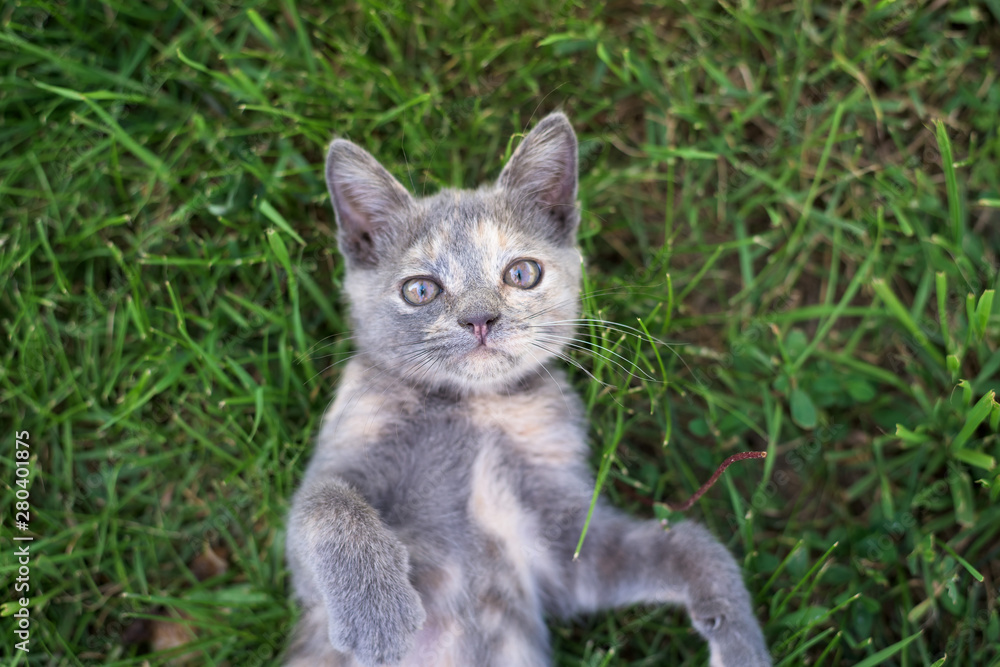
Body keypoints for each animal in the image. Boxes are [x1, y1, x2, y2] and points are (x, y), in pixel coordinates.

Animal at [286, 112, 768, 664]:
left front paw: (740, 639)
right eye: (420, 289)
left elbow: (691, 546)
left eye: (521, 273)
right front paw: (378, 617)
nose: (479, 319)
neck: (473, 411)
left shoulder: (567, 550)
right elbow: (326, 504)